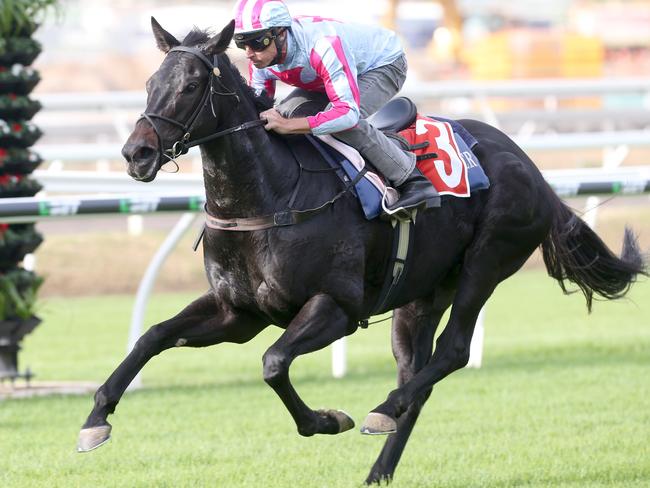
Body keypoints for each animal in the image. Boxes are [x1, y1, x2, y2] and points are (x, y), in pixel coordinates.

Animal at [77, 19, 644, 484]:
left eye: (191, 86)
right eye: (150, 84)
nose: (136, 153)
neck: (268, 197)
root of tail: (533, 169)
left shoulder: (337, 308)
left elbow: (273, 362)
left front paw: (327, 420)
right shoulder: (237, 313)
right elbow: (151, 337)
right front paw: (95, 420)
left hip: (486, 264)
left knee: (453, 351)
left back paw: (383, 408)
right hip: (421, 295)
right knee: (418, 374)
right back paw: (380, 464)